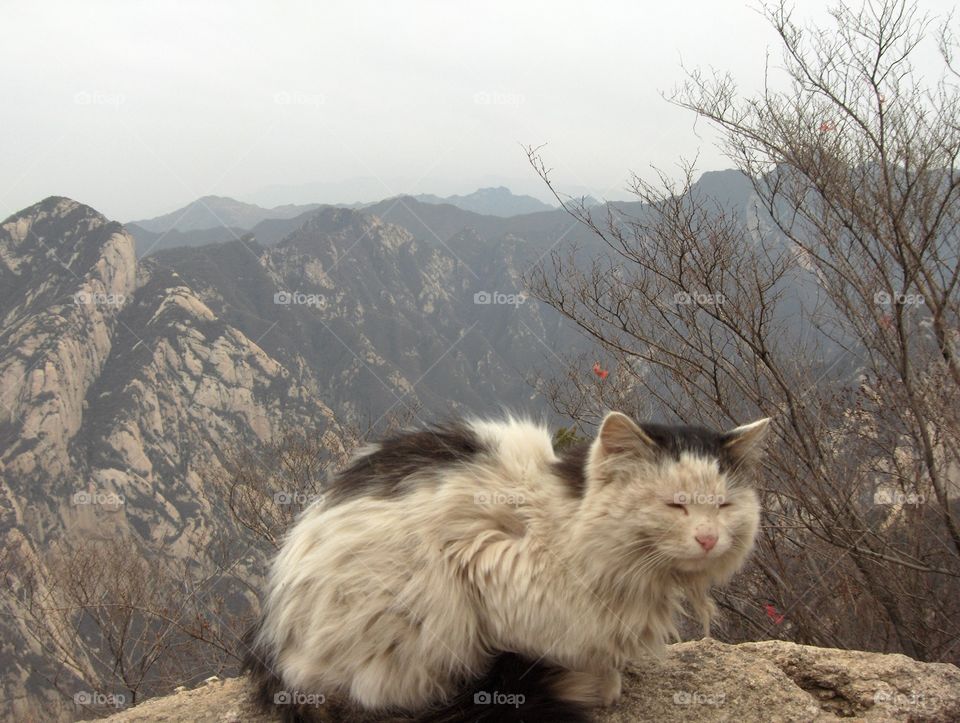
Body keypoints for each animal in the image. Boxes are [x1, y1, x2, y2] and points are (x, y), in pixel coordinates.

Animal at [244, 410, 768, 720]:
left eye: (723, 505)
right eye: (675, 504)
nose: (707, 538)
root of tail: (274, 647)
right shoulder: (488, 561)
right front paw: (599, 683)